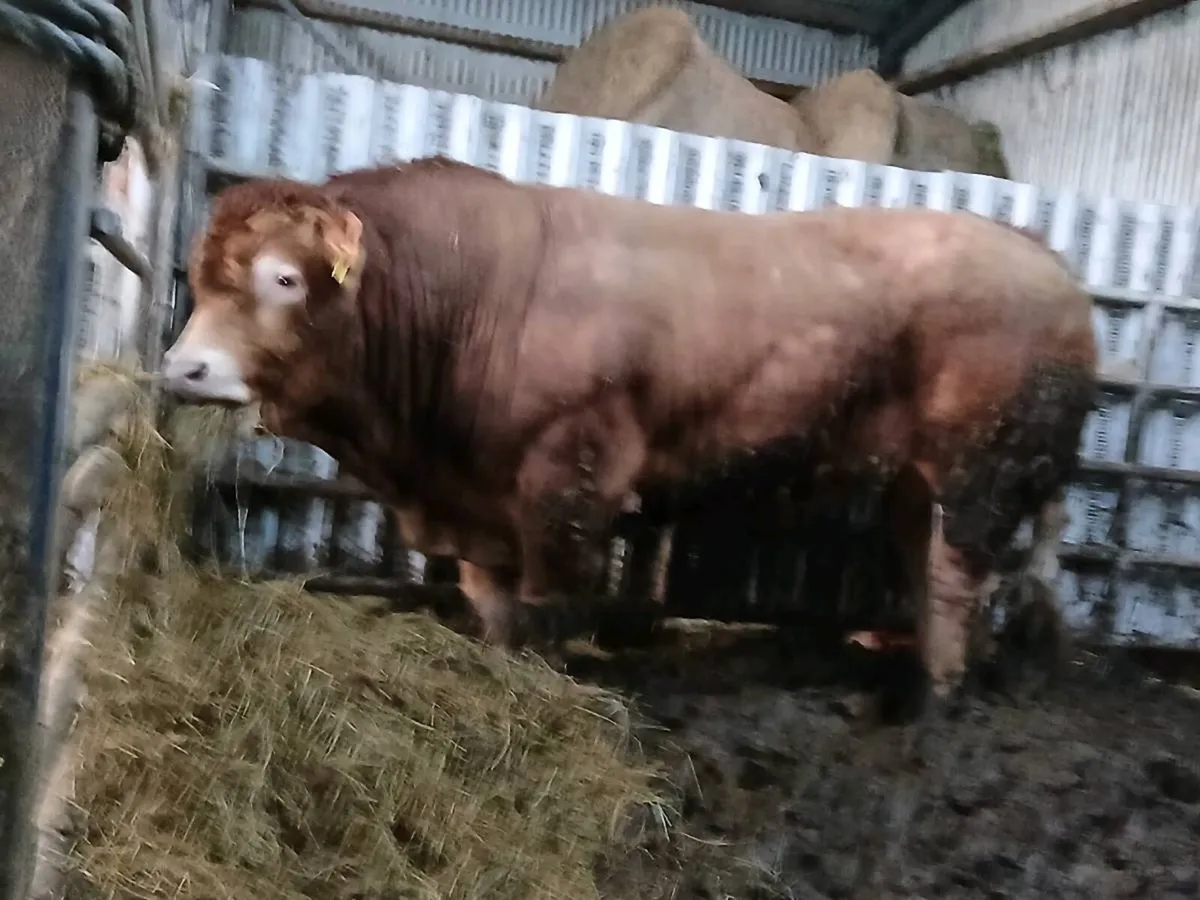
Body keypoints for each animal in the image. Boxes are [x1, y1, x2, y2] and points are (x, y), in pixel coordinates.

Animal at [159, 156, 1096, 725]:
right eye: (197, 278)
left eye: (284, 278)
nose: (182, 368)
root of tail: (1044, 258)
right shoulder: (483, 502)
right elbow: (494, 605)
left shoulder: (569, 478)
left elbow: (548, 606)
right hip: (920, 479)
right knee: (924, 561)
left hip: (980, 469)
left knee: (953, 580)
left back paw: (933, 702)